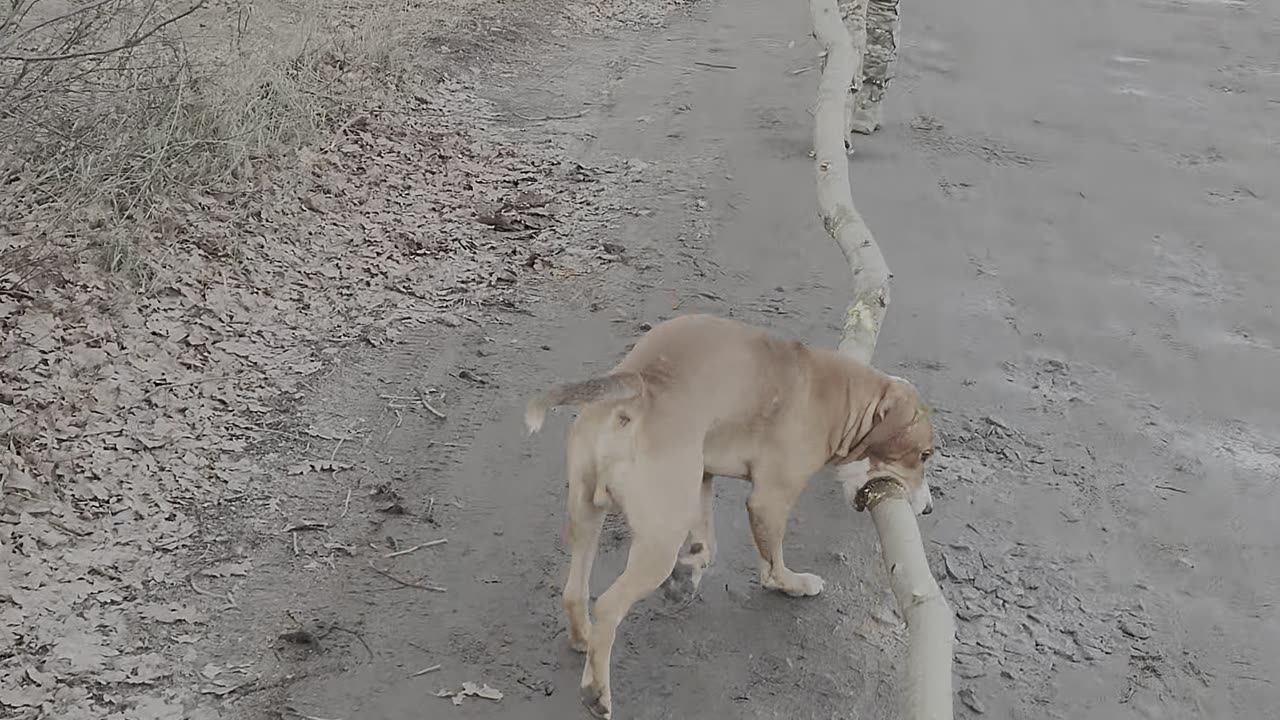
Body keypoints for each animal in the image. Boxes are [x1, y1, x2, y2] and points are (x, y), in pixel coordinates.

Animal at [524, 311, 936, 712]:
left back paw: (585, 640)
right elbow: (773, 566)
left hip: (589, 515)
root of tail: (640, 383)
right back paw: (597, 691)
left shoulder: (703, 476)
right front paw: (793, 584)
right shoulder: (769, 501)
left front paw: (687, 576)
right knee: (609, 606)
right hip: (659, 541)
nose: (929, 509)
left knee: (575, 591)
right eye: (924, 455)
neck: (841, 396)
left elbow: (707, 545)